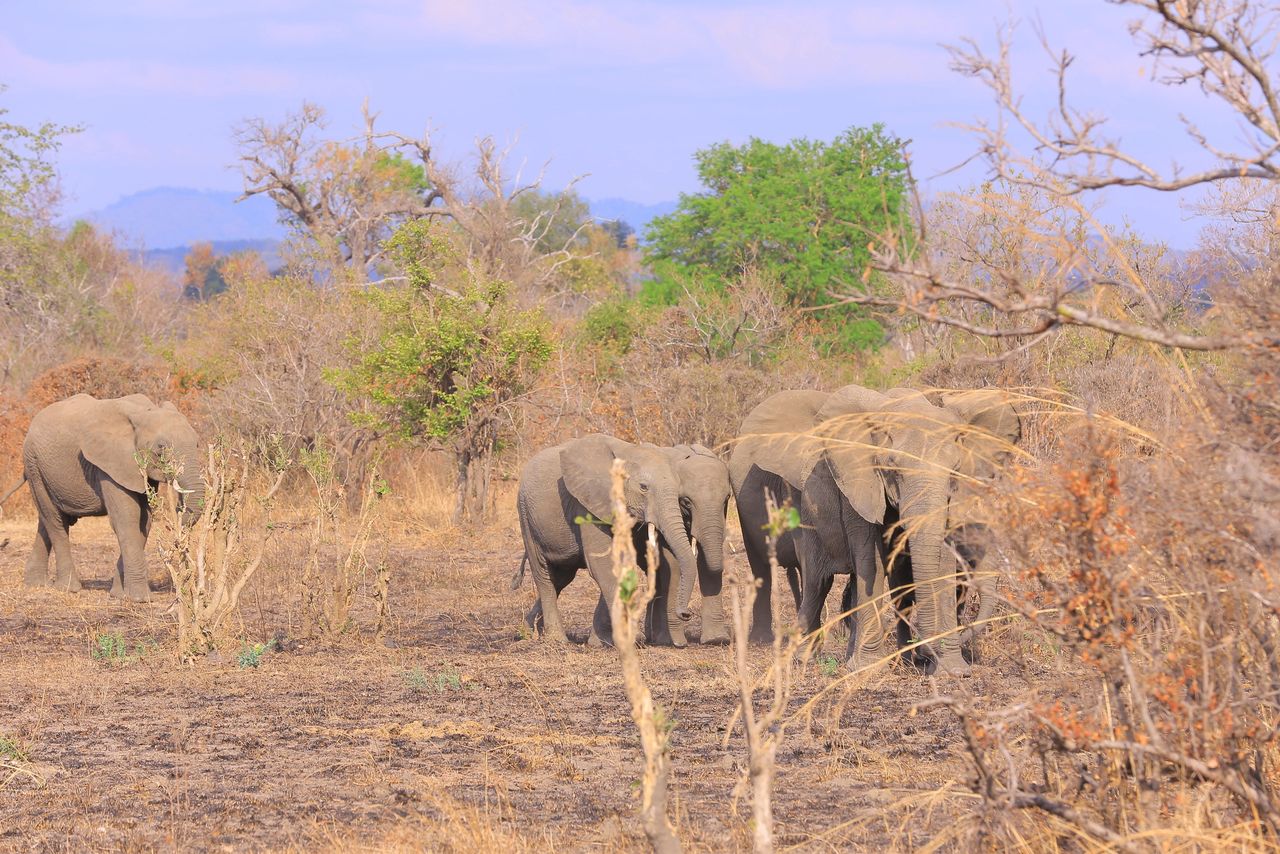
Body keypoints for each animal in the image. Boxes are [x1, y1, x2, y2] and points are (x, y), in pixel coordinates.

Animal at [0, 394, 203, 601]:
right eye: (161, 447)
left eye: (197, 444)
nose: (178, 508)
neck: (142, 413)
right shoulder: (108, 465)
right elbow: (127, 519)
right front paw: (140, 599)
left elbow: (144, 521)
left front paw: (119, 595)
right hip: (34, 465)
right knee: (54, 520)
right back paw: (69, 588)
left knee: (46, 520)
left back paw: (36, 584)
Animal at [732, 386, 1018, 676]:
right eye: (893, 469)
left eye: (955, 471)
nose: (928, 653)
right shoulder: (859, 485)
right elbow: (872, 562)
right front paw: (869, 669)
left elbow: (943, 566)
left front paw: (952, 670)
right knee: (817, 582)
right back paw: (804, 659)